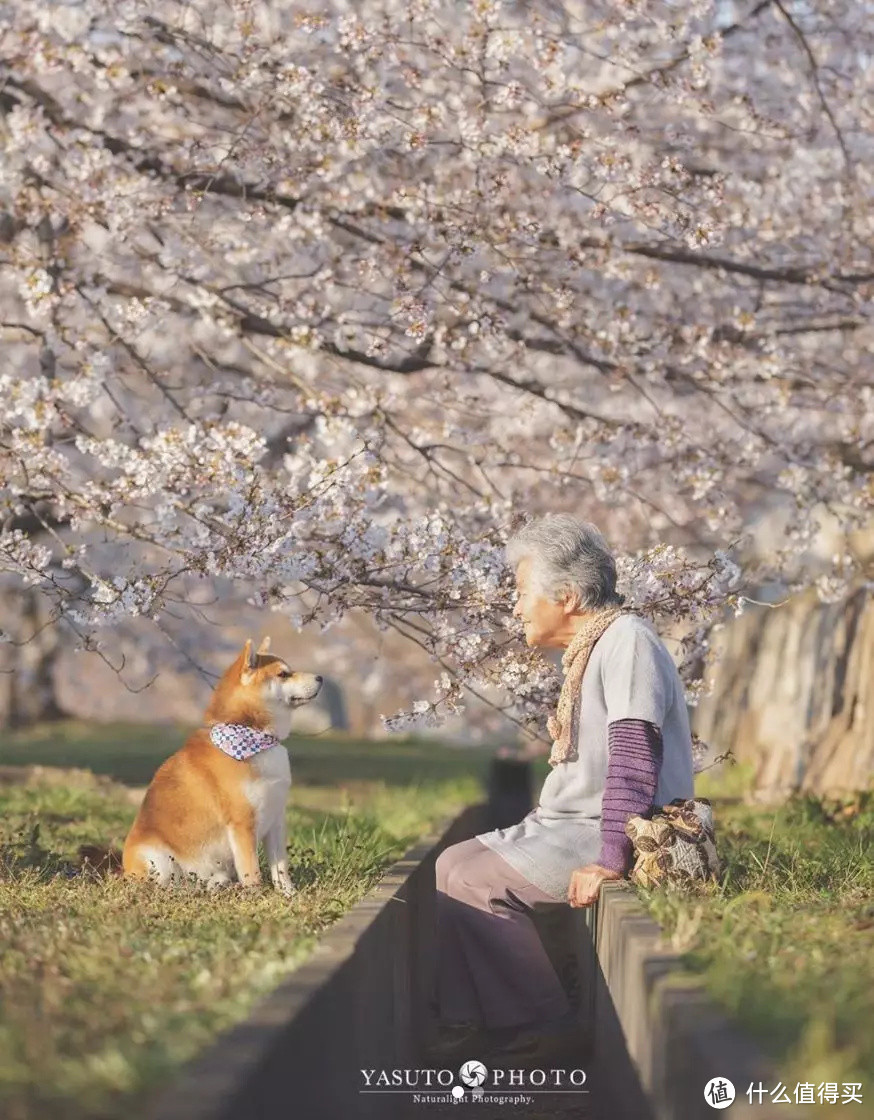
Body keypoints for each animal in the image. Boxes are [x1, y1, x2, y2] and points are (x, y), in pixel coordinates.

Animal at [121, 640, 322, 891]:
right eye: (283, 674)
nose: (320, 677)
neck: (252, 732)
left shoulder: (276, 818)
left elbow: (281, 869)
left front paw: (288, 894)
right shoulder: (242, 822)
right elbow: (252, 873)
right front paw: (257, 895)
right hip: (156, 859)